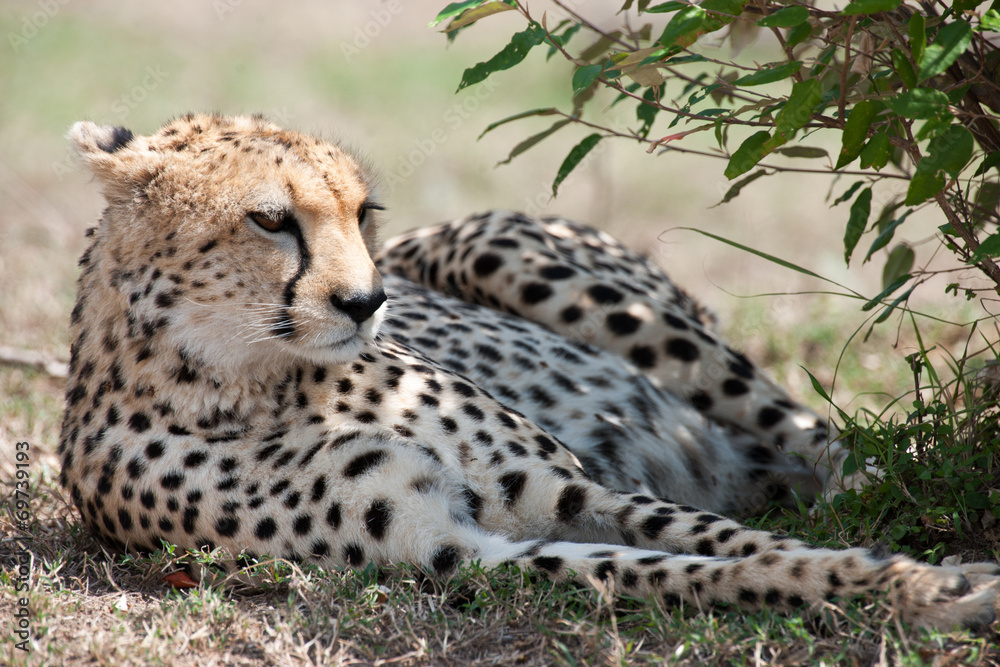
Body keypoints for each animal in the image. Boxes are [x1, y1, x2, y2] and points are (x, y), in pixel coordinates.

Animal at [59, 113, 999, 632]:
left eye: (363, 212)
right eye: (269, 219)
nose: (369, 301)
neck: (252, 377)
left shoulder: (567, 484)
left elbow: (732, 543)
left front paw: (919, 578)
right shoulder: (456, 548)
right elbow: (680, 568)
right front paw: (909, 588)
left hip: (540, 270)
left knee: (818, 435)